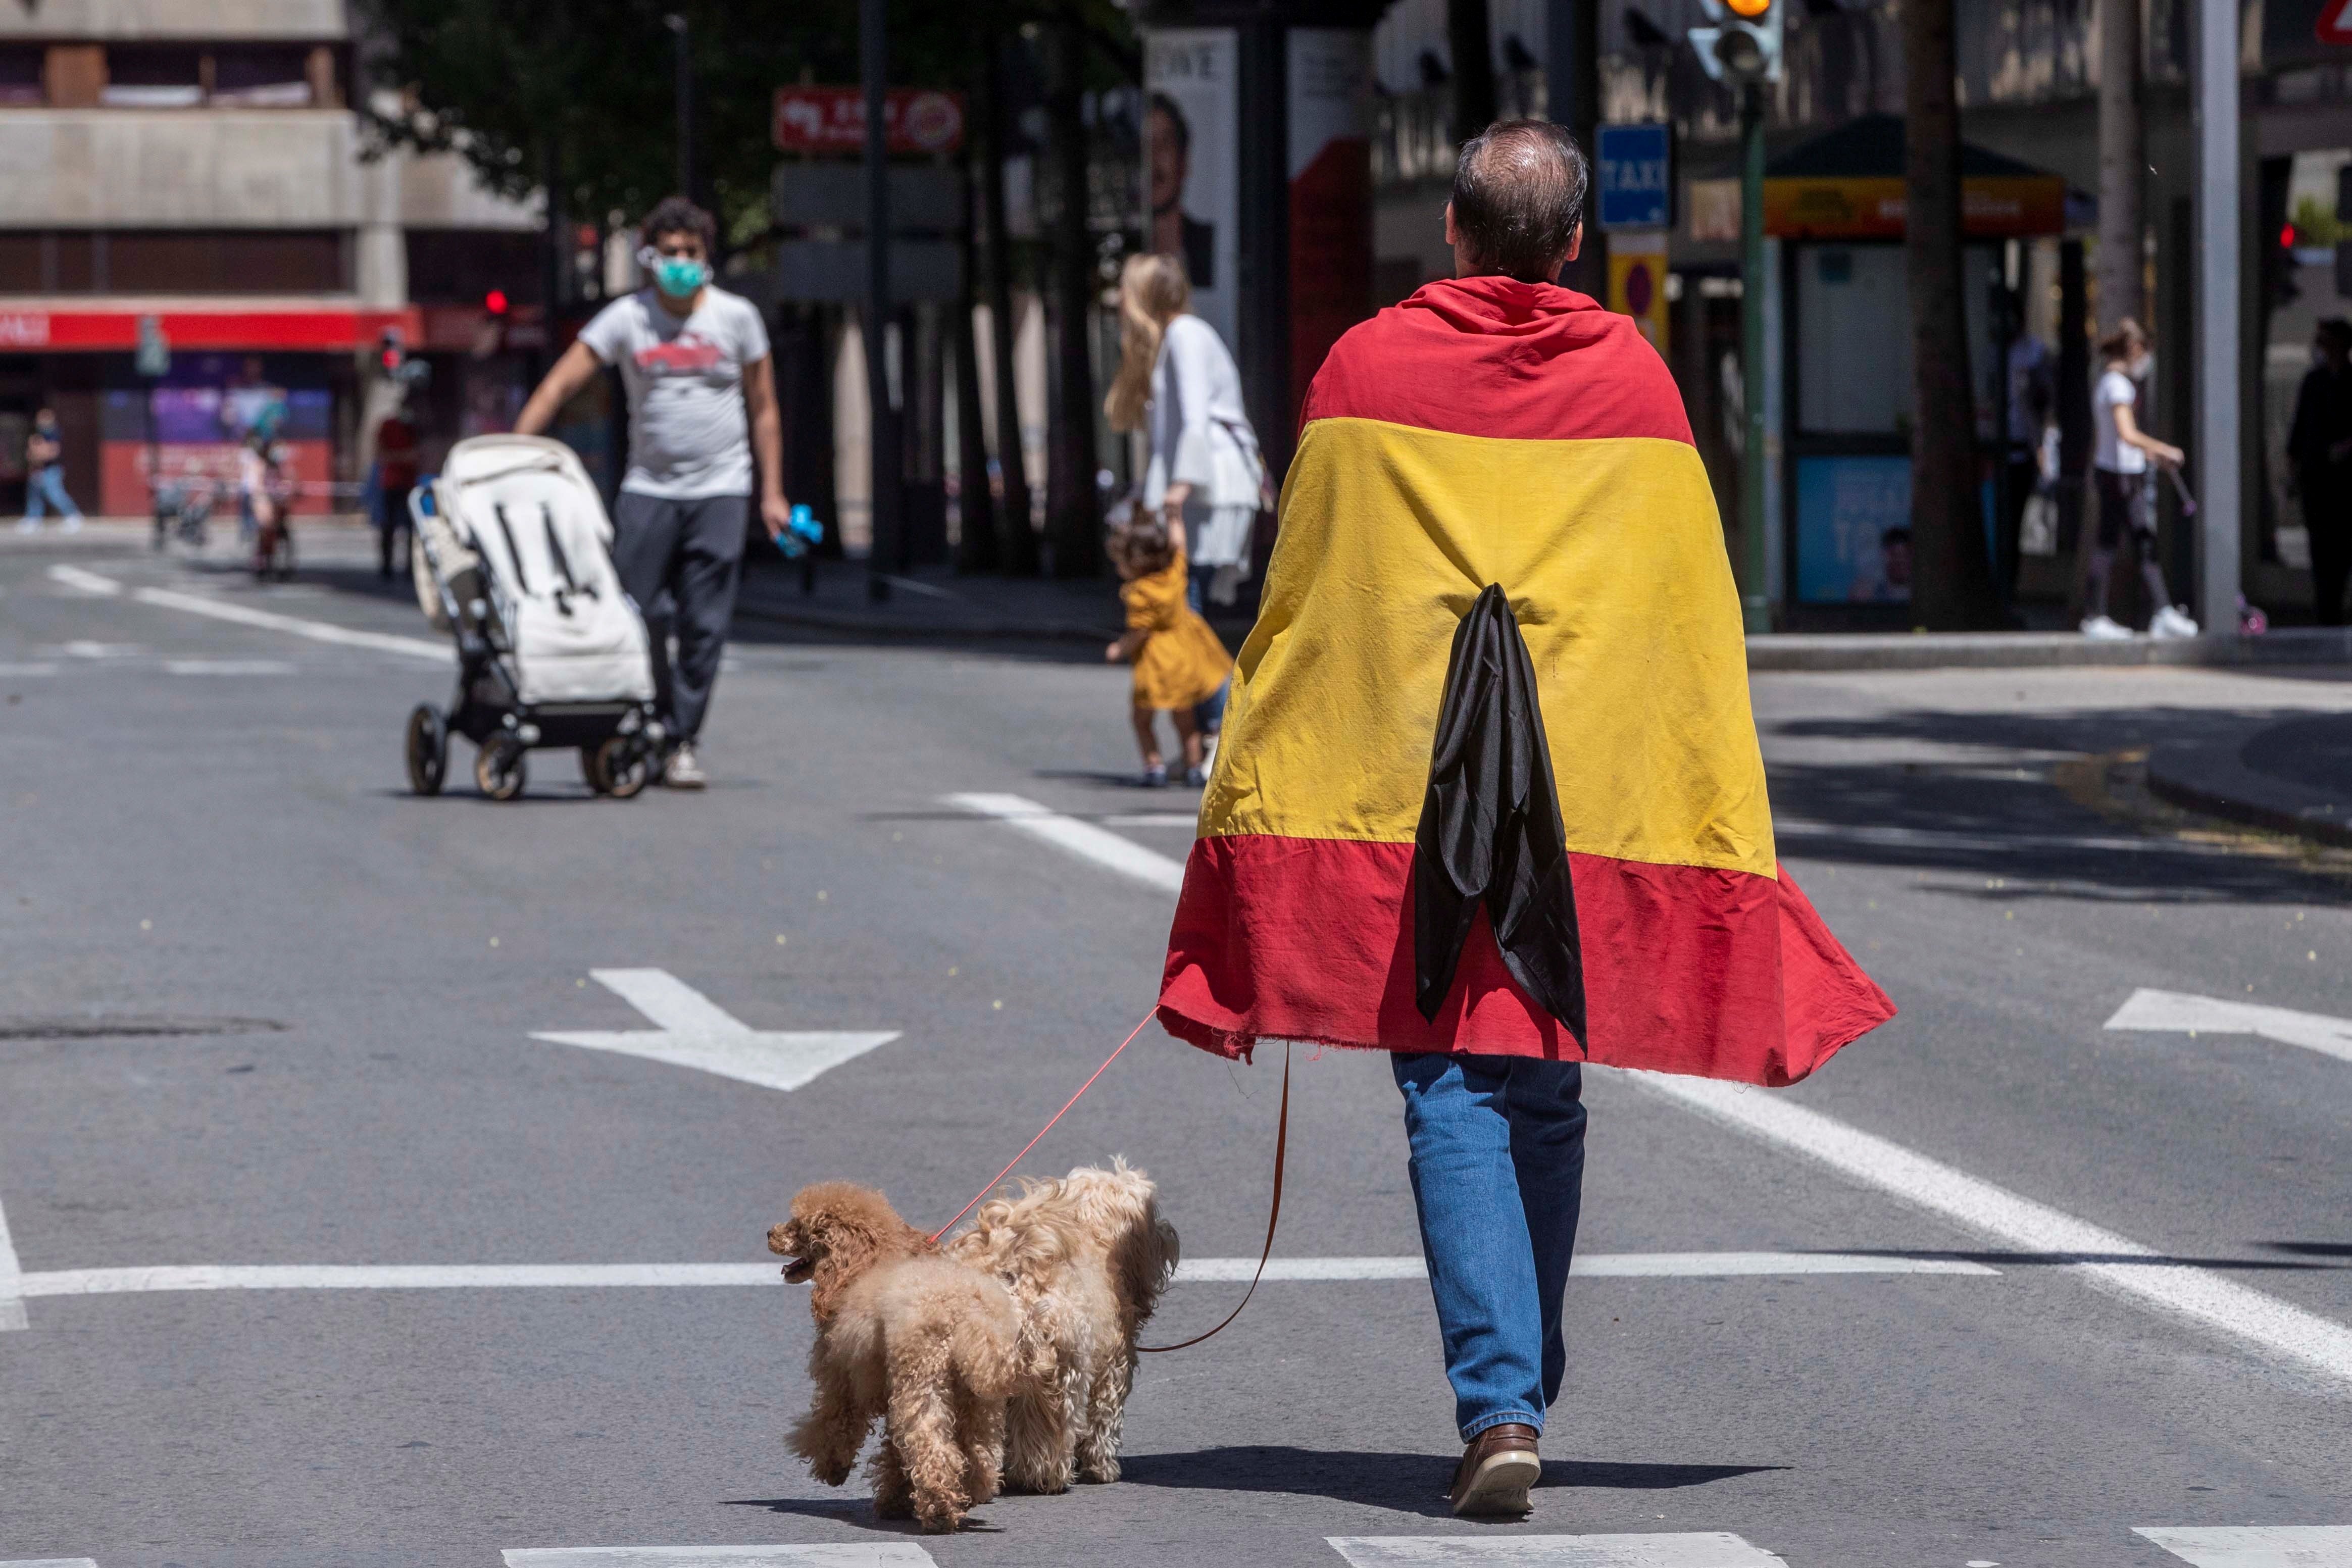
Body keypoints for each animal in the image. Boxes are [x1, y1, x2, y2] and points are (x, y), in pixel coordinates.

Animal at [771, 1185, 1021, 1523]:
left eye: (798, 1226)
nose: (769, 1234)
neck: (867, 1263)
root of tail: (965, 1311)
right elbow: (894, 1449)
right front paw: (895, 1498)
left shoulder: (842, 1379)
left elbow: (835, 1424)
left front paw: (834, 1469)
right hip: (977, 1397)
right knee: (979, 1451)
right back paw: (968, 1494)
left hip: (921, 1380)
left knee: (932, 1446)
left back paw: (940, 1508)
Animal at [945, 1161, 1185, 1495]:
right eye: (1151, 1212)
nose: (1167, 1230)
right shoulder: (1112, 1363)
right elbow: (1104, 1417)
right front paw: (1102, 1468)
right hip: (1057, 1364)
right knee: (1049, 1426)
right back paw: (1044, 1476)